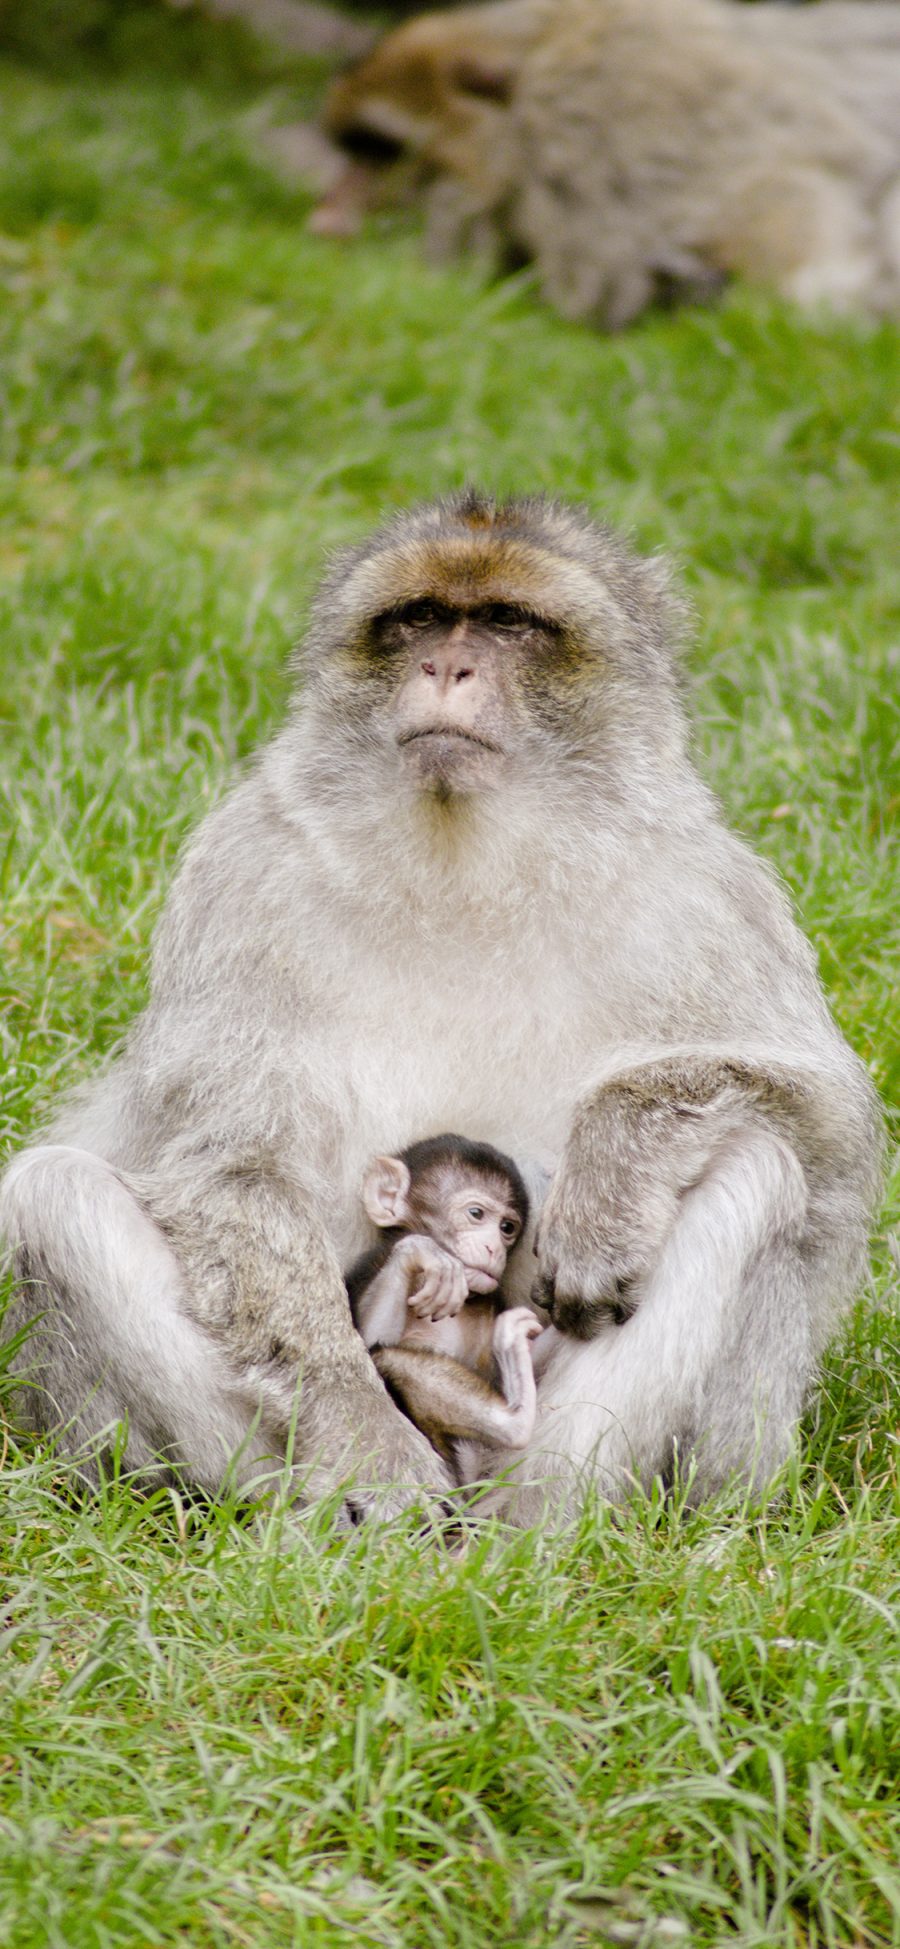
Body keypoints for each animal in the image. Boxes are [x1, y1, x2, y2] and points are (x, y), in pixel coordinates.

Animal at [348, 1130, 553, 1473]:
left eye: (507, 1228)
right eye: (476, 1214)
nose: (494, 1248)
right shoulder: (370, 1266)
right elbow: (366, 1342)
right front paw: (423, 1253)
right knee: (386, 1357)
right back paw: (516, 1419)